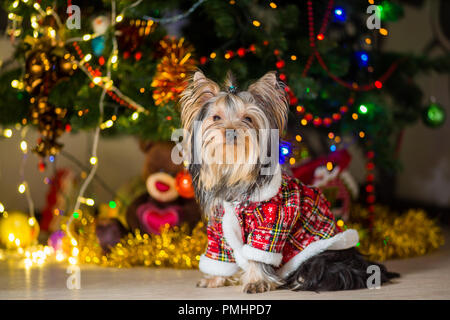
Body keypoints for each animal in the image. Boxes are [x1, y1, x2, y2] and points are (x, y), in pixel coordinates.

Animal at [179, 71, 398, 294]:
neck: (235, 174)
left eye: (248, 118)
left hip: (323, 253)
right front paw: (215, 279)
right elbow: (219, 254)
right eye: (216, 118)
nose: (231, 131)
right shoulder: (219, 225)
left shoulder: (273, 221)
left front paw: (256, 282)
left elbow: (260, 253)